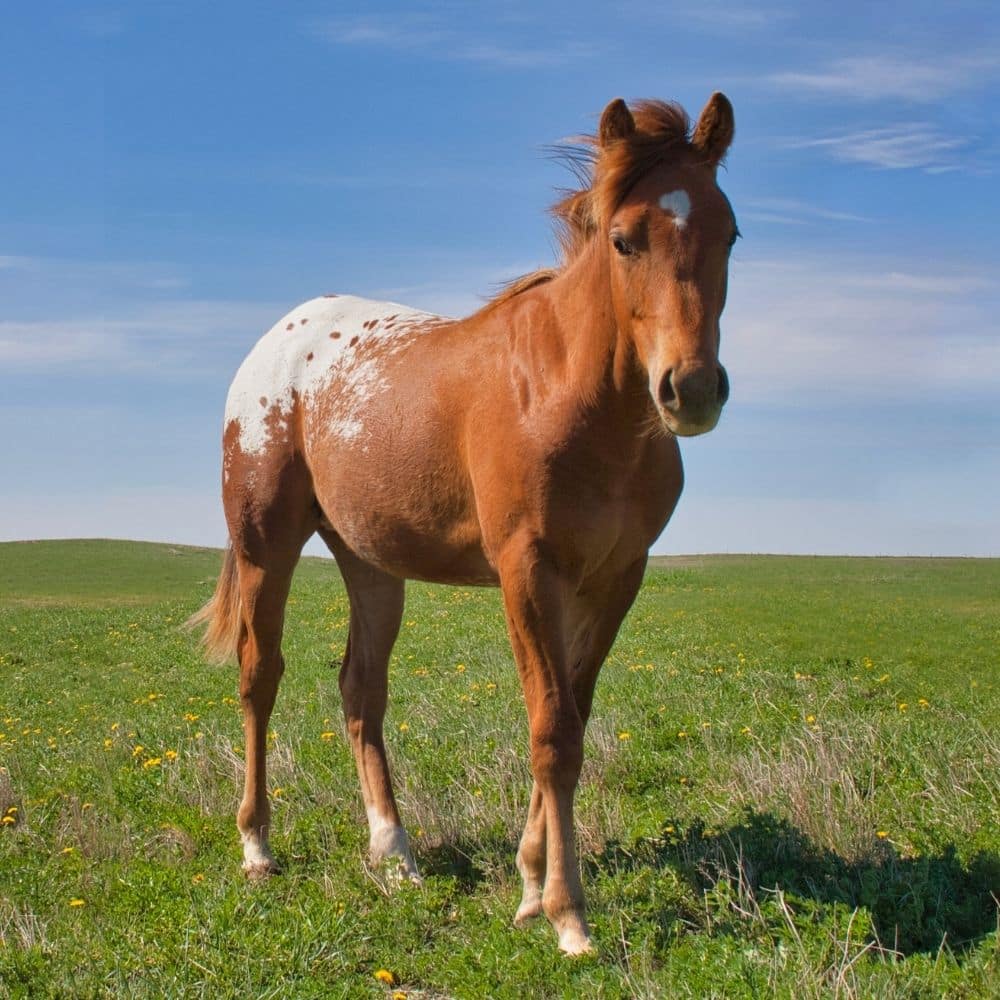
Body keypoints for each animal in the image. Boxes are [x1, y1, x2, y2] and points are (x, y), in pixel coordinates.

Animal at [189, 93, 737, 954]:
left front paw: (529, 883)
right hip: (263, 545)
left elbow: (572, 718)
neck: (576, 397)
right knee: (259, 676)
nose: (693, 389)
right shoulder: (528, 571)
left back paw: (393, 853)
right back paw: (257, 845)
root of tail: (280, 337)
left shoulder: (616, 578)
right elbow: (552, 732)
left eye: (730, 234)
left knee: (360, 689)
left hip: (372, 565)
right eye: (625, 239)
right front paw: (565, 913)